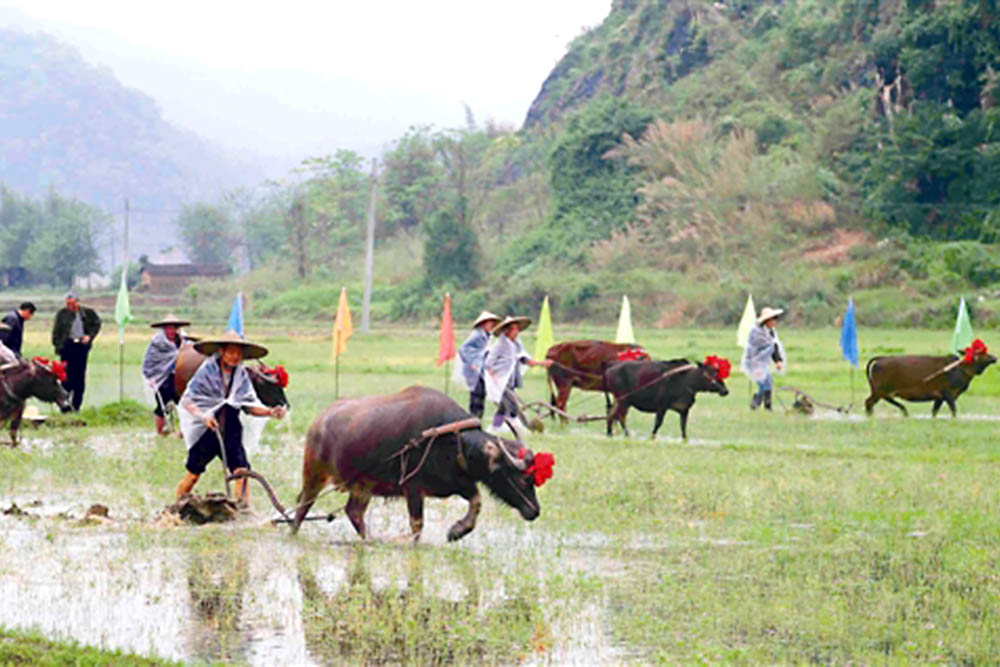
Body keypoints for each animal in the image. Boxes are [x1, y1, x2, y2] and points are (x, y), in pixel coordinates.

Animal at [294, 386, 556, 544]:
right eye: (524, 478)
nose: (535, 511)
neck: (453, 440)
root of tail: (318, 422)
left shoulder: (458, 483)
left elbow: (477, 502)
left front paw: (457, 531)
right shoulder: (413, 488)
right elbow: (417, 525)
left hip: (362, 486)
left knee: (354, 512)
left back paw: (370, 540)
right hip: (314, 475)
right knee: (302, 506)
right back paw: (292, 533)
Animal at [596, 358, 732, 440]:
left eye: (717, 372)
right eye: (708, 373)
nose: (725, 391)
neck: (686, 381)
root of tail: (611, 366)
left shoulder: (684, 409)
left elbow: (683, 426)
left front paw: (685, 439)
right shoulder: (662, 406)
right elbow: (658, 423)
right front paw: (651, 437)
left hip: (622, 400)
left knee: (612, 413)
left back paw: (611, 433)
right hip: (623, 399)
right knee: (618, 415)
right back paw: (622, 433)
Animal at [864, 344, 996, 418]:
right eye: (980, 353)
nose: (994, 357)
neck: (960, 370)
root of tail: (880, 359)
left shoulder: (939, 397)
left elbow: (934, 412)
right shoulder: (948, 393)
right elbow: (953, 410)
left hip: (881, 390)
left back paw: (903, 411)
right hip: (880, 390)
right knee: (869, 402)